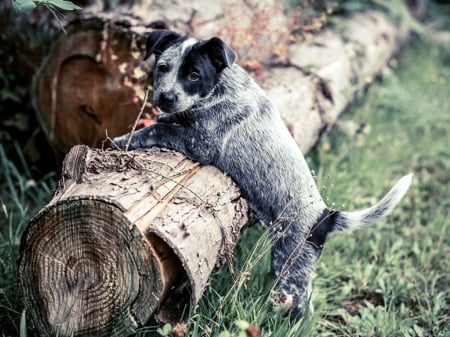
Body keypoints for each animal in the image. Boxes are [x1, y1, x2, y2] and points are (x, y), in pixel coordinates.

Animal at [113, 29, 414, 320]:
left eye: (194, 75)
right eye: (162, 67)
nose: (165, 97)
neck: (221, 88)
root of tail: (324, 217)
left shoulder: (201, 144)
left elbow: (157, 129)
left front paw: (123, 139)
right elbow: (170, 120)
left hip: (291, 264)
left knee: (301, 306)